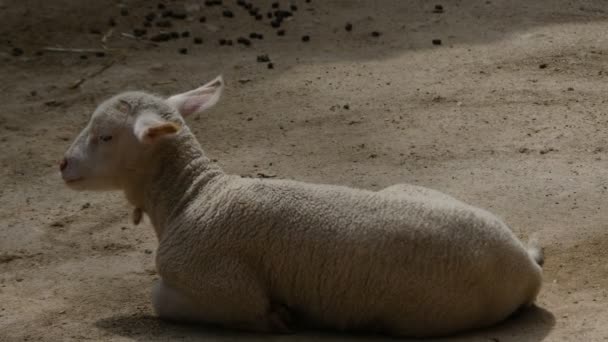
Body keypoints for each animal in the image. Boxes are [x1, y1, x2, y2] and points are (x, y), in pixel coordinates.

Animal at [59, 76, 544, 338]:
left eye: (105, 136)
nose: (62, 164)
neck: (193, 196)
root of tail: (524, 265)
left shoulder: (223, 286)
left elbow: (161, 297)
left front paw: (277, 318)